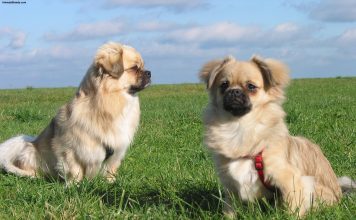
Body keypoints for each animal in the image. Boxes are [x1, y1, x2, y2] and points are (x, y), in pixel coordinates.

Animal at [0, 42, 151, 183]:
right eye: (134, 68)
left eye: (142, 67)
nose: (149, 72)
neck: (108, 103)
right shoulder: (70, 149)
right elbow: (75, 169)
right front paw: (74, 185)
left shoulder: (116, 151)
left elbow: (110, 170)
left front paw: (111, 183)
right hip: (31, 153)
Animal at [199, 55, 354, 217]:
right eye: (224, 85)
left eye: (251, 86)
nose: (234, 91)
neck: (239, 126)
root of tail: (339, 193)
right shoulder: (230, 186)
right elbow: (229, 209)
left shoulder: (290, 179)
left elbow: (293, 209)